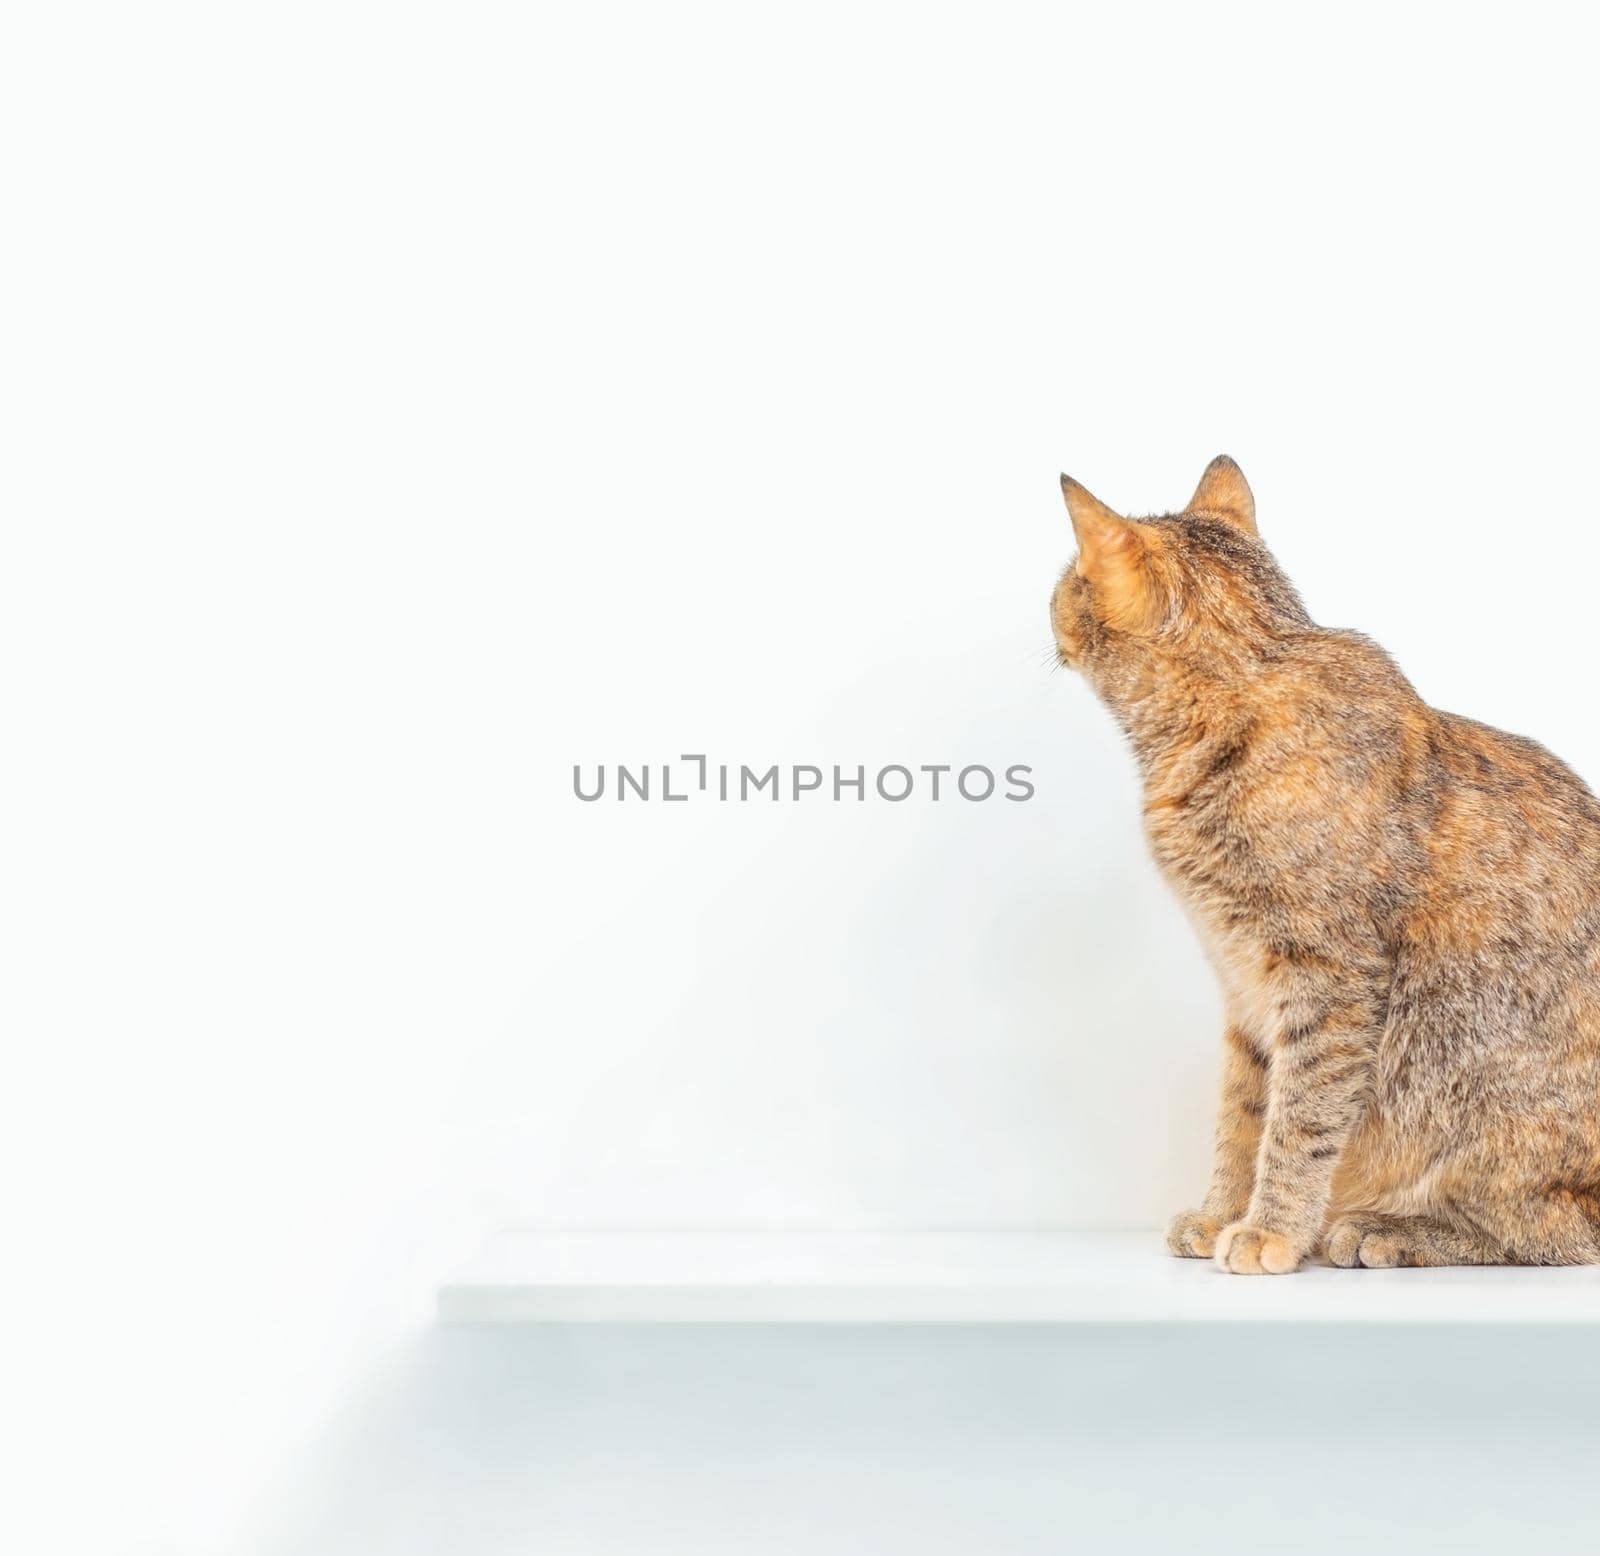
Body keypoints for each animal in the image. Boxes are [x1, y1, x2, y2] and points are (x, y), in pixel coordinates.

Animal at [1049, 454, 1600, 1267]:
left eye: (1066, 577)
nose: (1050, 605)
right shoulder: (1244, 985)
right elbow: (1243, 1114)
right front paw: (1223, 1212)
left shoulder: (1330, 978)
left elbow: (1301, 1117)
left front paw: (1273, 1228)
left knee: (1551, 1229)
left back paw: (1388, 1230)